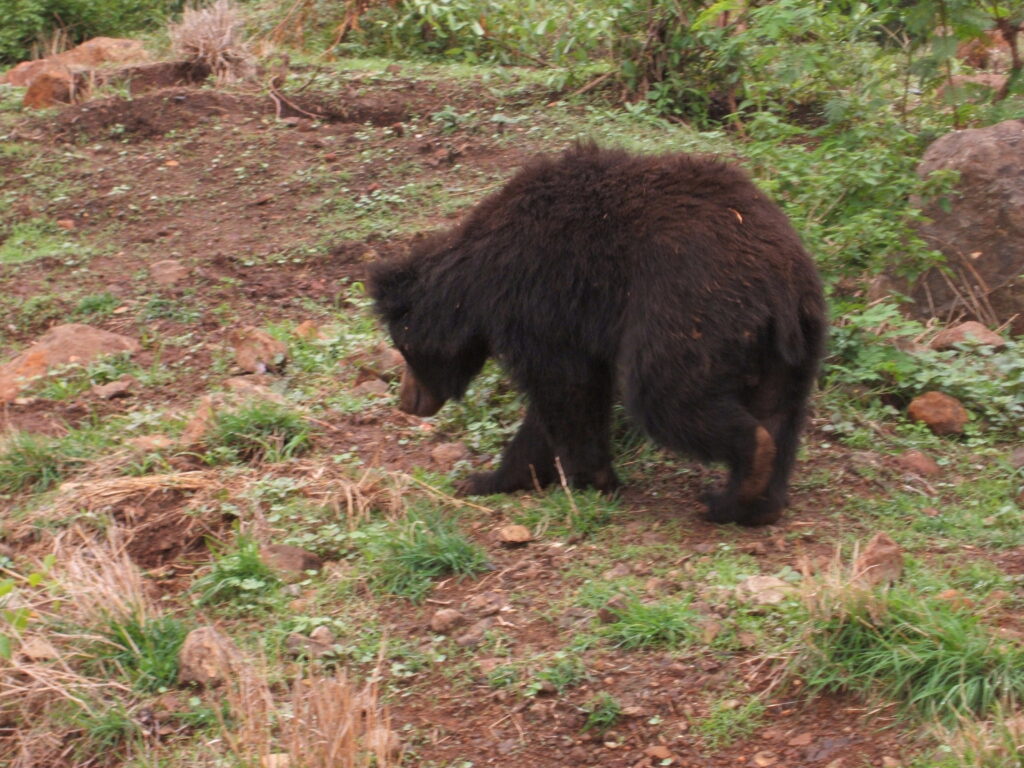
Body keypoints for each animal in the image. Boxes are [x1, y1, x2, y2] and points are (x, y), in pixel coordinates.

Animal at [369, 143, 826, 526]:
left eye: (403, 347)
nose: (407, 401)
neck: (478, 282)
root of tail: (781, 282)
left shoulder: (542, 297)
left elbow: (566, 389)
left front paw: (594, 478)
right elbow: (555, 405)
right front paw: (488, 479)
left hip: (688, 311)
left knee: (665, 396)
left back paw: (741, 475)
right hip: (790, 348)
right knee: (778, 410)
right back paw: (747, 504)